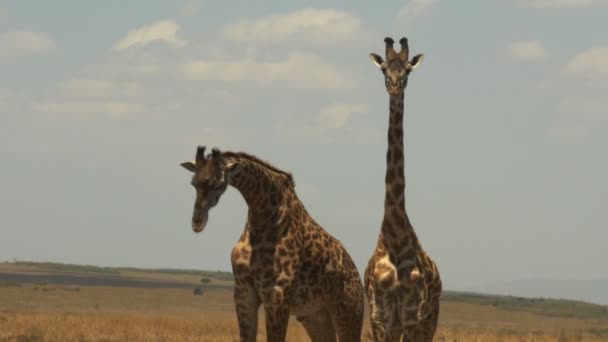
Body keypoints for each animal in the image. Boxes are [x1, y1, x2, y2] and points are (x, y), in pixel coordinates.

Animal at [179, 147, 360, 342]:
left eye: (218, 184)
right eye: (193, 183)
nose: (197, 222)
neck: (263, 219)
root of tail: (356, 273)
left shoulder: (277, 295)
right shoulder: (243, 291)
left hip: (347, 313)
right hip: (316, 317)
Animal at [364, 36, 444, 340]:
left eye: (407, 70)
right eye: (384, 69)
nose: (395, 87)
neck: (394, 235)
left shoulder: (412, 318)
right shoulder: (381, 318)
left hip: (429, 321)